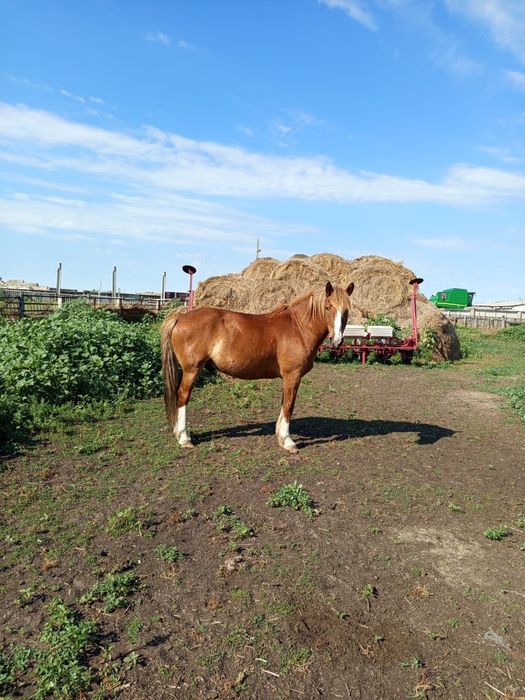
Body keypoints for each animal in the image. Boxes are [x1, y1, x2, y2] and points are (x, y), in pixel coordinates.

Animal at [161, 281, 354, 453]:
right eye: (328, 307)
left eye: (346, 310)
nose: (337, 340)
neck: (298, 328)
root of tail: (181, 317)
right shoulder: (292, 376)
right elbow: (289, 405)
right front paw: (288, 441)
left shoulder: (287, 378)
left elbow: (284, 403)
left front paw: (280, 436)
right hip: (192, 370)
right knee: (183, 396)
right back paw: (184, 438)